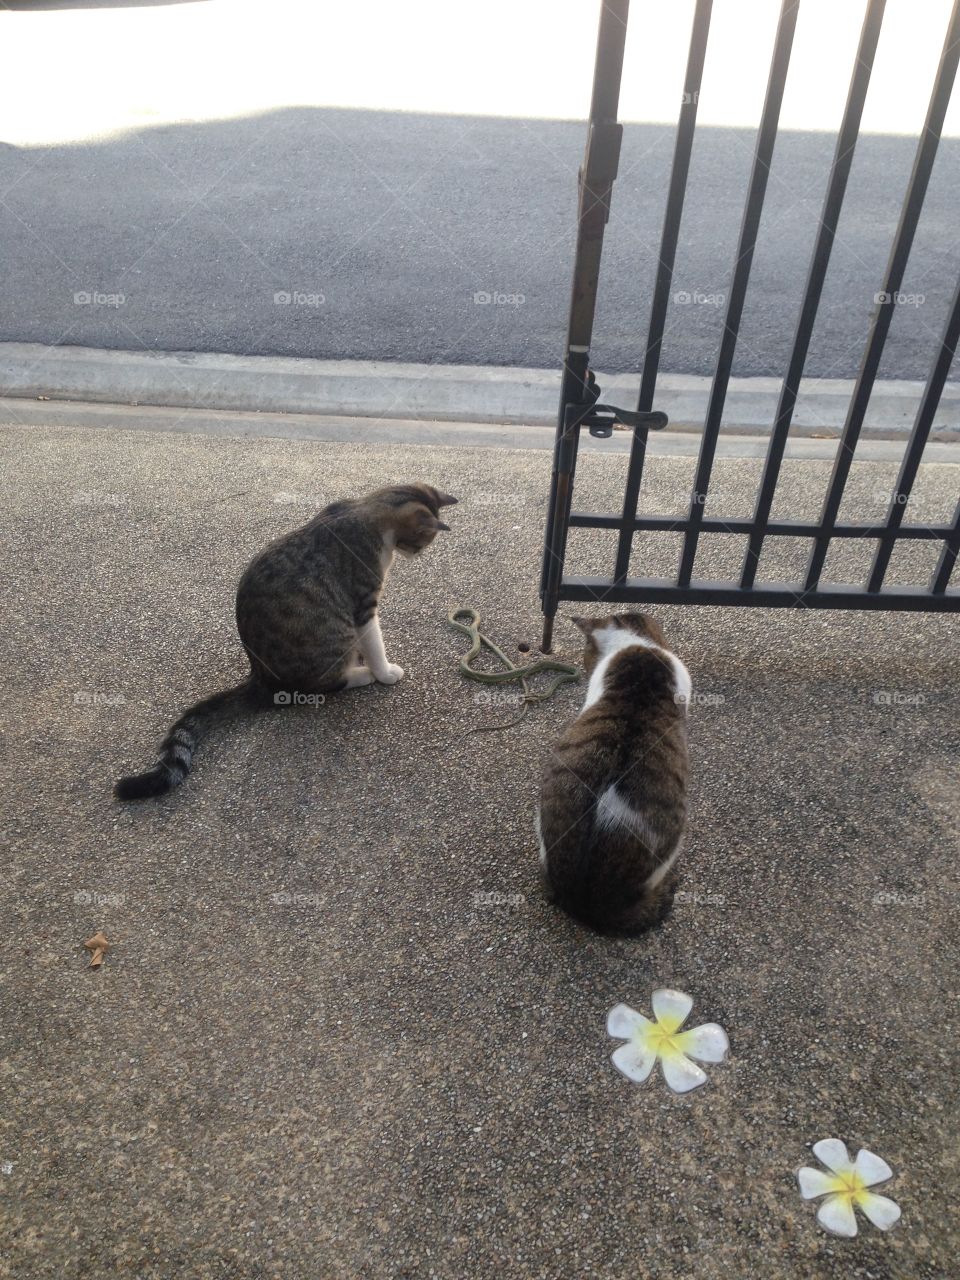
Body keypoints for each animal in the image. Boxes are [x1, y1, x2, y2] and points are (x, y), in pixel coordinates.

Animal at [114, 481, 455, 798]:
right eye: (424, 538)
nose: (418, 553)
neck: (365, 510)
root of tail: (261, 679)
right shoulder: (363, 604)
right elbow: (374, 642)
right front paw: (384, 672)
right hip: (334, 637)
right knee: (315, 687)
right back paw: (362, 674)